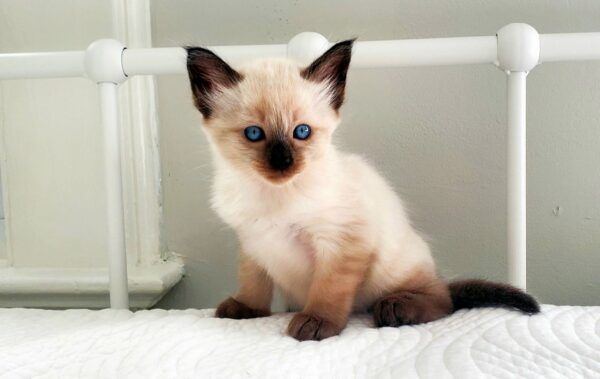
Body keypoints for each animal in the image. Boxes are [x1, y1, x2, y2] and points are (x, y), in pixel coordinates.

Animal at [184, 40, 540, 342]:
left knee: (443, 299)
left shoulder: (342, 243)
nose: (284, 162)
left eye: (302, 132)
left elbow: (329, 290)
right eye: (255, 134)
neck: (272, 195)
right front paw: (246, 308)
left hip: (393, 271)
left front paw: (317, 322)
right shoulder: (254, 244)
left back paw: (397, 308)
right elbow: (252, 283)